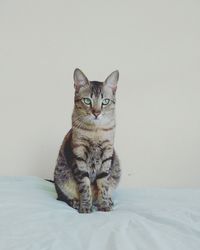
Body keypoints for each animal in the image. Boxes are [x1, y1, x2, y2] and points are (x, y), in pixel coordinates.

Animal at [53, 68, 120, 213]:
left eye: (105, 101)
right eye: (87, 101)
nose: (96, 113)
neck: (96, 131)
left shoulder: (107, 154)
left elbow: (104, 184)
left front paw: (104, 204)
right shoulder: (79, 156)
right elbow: (84, 186)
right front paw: (85, 206)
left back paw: (107, 201)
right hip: (61, 177)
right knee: (62, 197)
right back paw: (75, 202)